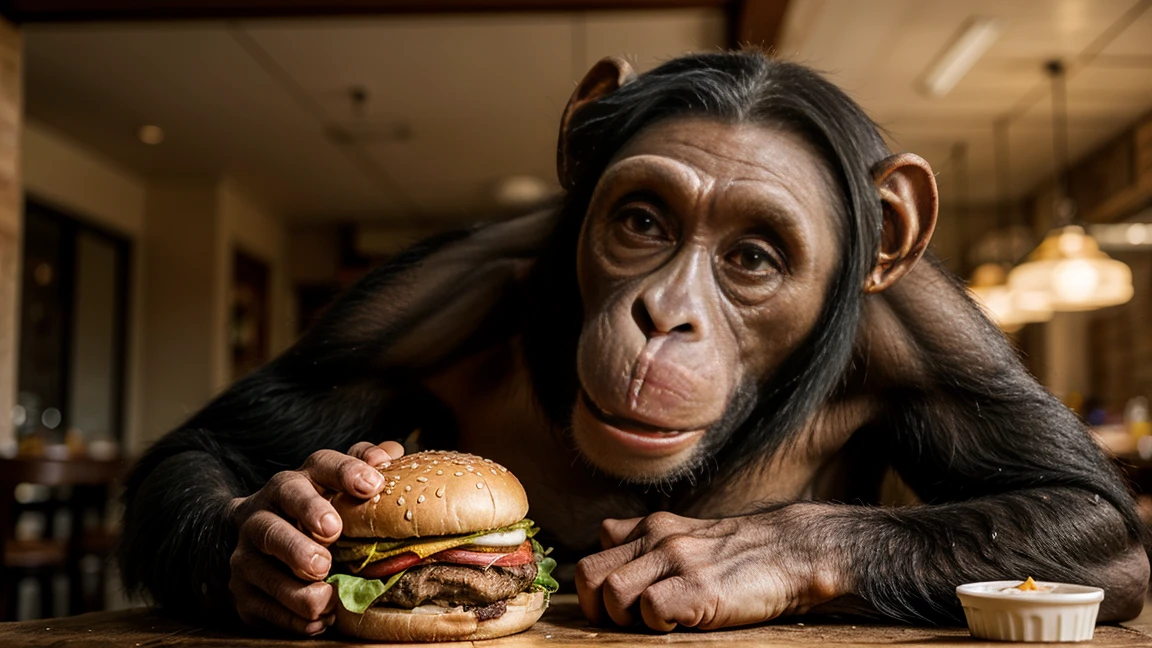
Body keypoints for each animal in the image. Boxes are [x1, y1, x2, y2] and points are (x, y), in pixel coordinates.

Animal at [119, 49, 1152, 631]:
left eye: (751, 257)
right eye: (643, 222)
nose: (663, 314)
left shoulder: (933, 342)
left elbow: (1089, 512)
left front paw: (728, 556)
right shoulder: (412, 301)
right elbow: (215, 445)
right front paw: (276, 525)